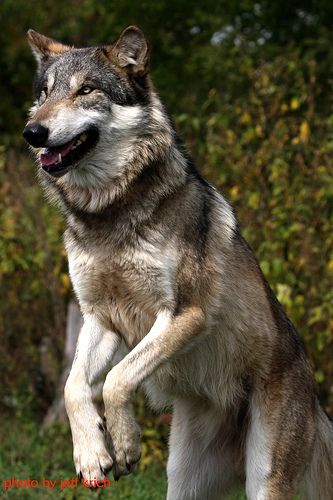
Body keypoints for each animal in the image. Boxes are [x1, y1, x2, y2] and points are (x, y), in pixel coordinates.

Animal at [24, 28, 332, 500]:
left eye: (86, 90)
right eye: (44, 94)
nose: (32, 132)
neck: (108, 213)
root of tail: (316, 400)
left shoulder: (186, 314)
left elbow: (116, 381)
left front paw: (125, 445)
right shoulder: (99, 318)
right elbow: (74, 386)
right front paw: (92, 455)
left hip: (265, 479)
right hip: (182, 480)